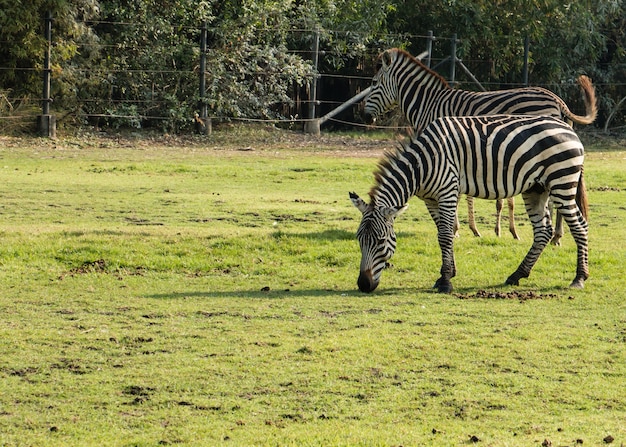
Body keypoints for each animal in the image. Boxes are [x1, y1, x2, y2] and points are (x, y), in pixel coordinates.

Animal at [348, 114, 588, 294]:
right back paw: (517, 275)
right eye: (359, 239)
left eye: (380, 241)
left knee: (580, 226)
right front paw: (447, 273)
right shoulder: (431, 200)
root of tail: (568, 128)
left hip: (562, 182)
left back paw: (579, 278)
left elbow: (446, 236)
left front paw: (445, 281)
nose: (363, 285)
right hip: (536, 189)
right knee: (543, 231)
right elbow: (442, 234)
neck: (422, 165)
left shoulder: (447, 191)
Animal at [364, 48, 596, 245]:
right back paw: (556, 235)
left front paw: (456, 229)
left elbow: (457, 194)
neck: (428, 104)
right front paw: (468, 229)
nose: (363, 112)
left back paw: (555, 235)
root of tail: (559, 101)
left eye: (374, 82)